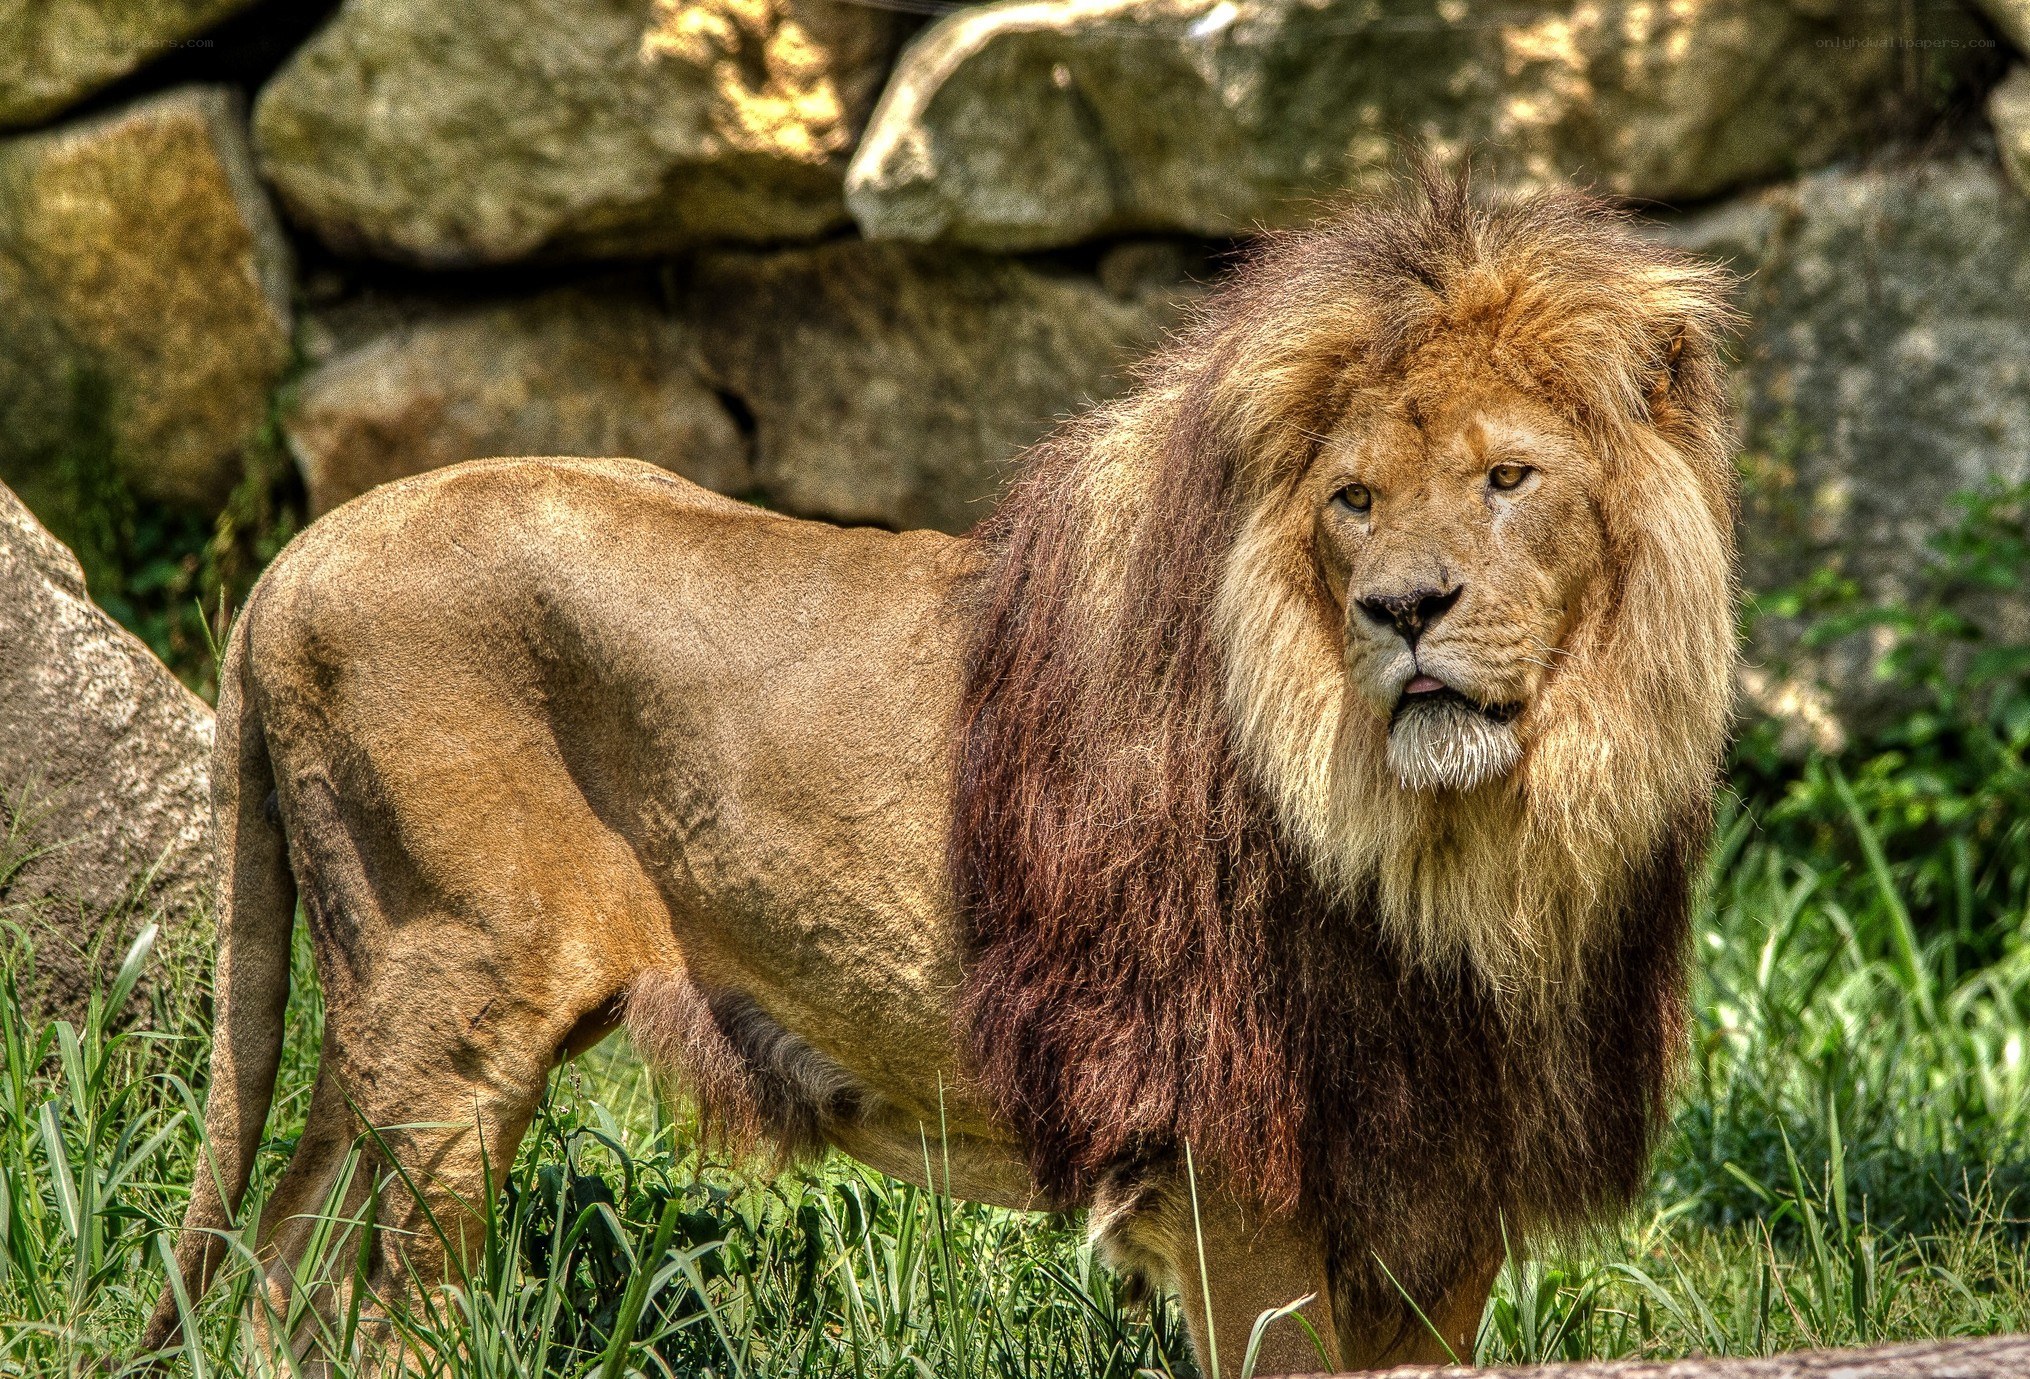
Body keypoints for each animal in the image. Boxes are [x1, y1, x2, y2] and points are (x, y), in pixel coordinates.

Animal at [145, 175, 1737, 1374]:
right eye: (1352, 499)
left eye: (1507, 477)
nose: (1403, 607)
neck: (1471, 844)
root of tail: (296, 556)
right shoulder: (1227, 1163)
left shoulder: (1442, 1181)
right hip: (454, 1016)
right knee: (373, 1313)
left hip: (389, 1032)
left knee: (280, 1276)